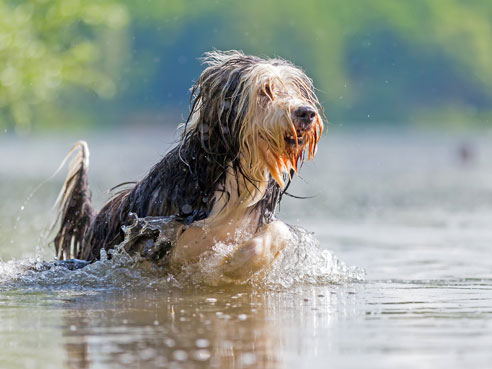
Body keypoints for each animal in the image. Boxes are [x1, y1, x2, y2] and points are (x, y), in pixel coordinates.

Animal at [52, 50, 324, 280]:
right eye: (264, 90)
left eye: (296, 92)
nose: (306, 112)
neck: (235, 172)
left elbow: (278, 232)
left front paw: (235, 263)